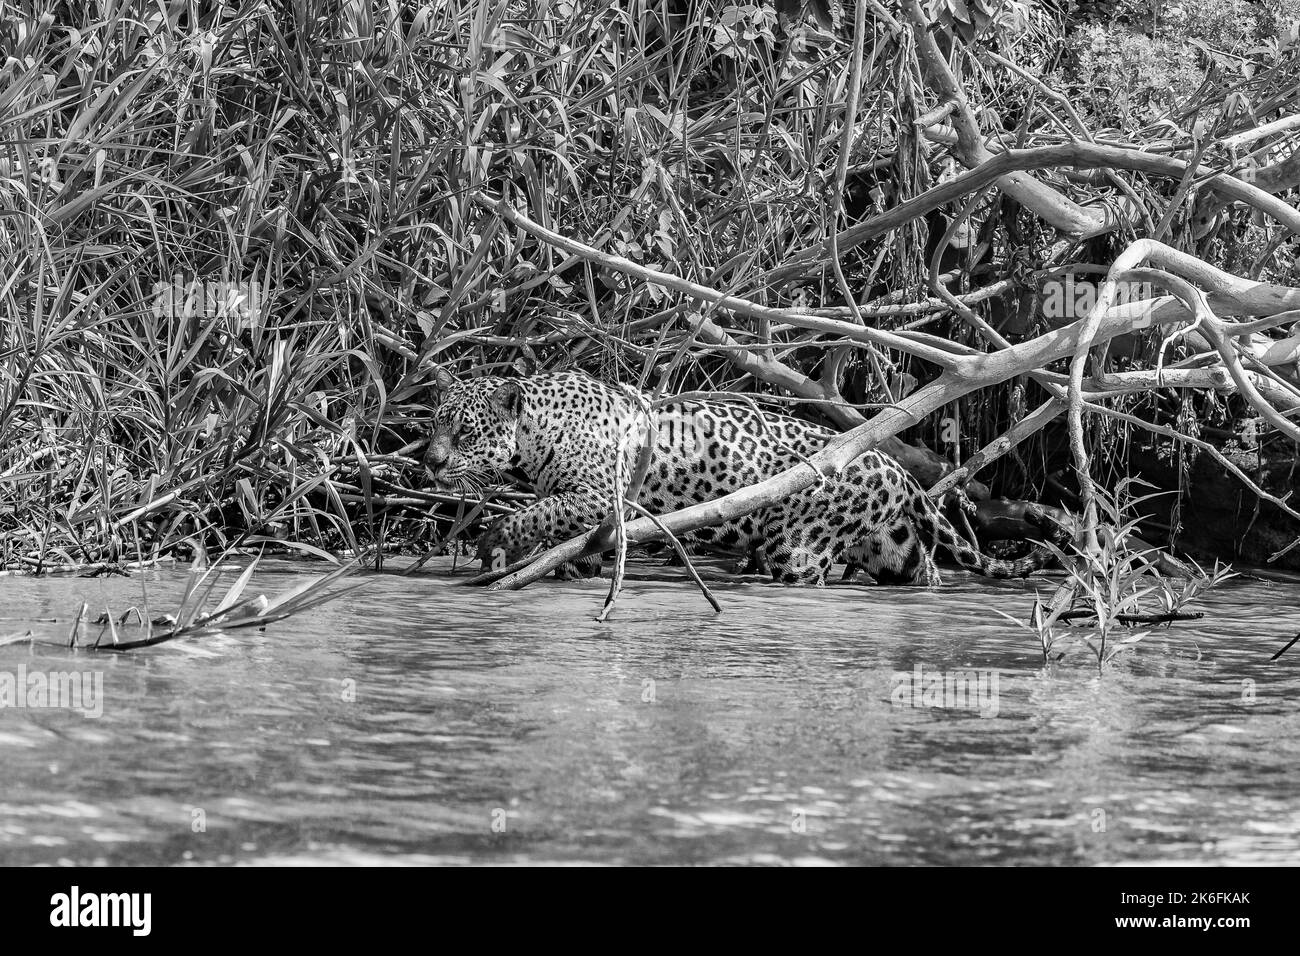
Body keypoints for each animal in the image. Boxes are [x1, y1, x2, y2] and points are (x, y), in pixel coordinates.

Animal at [424, 368, 1065, 586]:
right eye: (435, 423)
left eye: (464, 431)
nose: (429, 460)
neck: (538, 429)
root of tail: (892, 465)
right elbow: (560, 529)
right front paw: (570, 567)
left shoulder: (594, 495)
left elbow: (537, 512)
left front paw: (495, 543)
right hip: (892, 547)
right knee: (922, 570)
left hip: (802, 544)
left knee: (803, 569)